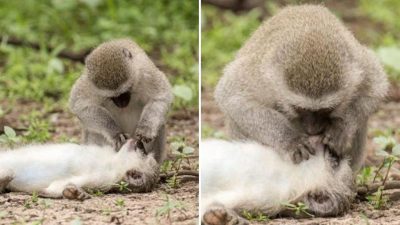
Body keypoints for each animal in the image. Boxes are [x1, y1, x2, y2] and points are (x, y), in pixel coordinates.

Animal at [0, 139, 159, 200]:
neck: (112, 163)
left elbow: (57, 187)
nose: (139, 141)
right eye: (143, 150)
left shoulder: (103, 178)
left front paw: (74, 193)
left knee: (9, 174)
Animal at [202, 138, 354, 224]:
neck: (291, 173)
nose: (327, 145)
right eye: (335, 157)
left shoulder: (268, 197)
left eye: (335, 161)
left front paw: (221, 219)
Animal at [214, 4, 390, 171]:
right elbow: (232, 97)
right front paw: (291, 140)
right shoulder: (261, 76)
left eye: (327, 109)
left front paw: (341, 128)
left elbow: (377, 87)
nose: (313, 130)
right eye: (299, 108)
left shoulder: (359, 64)